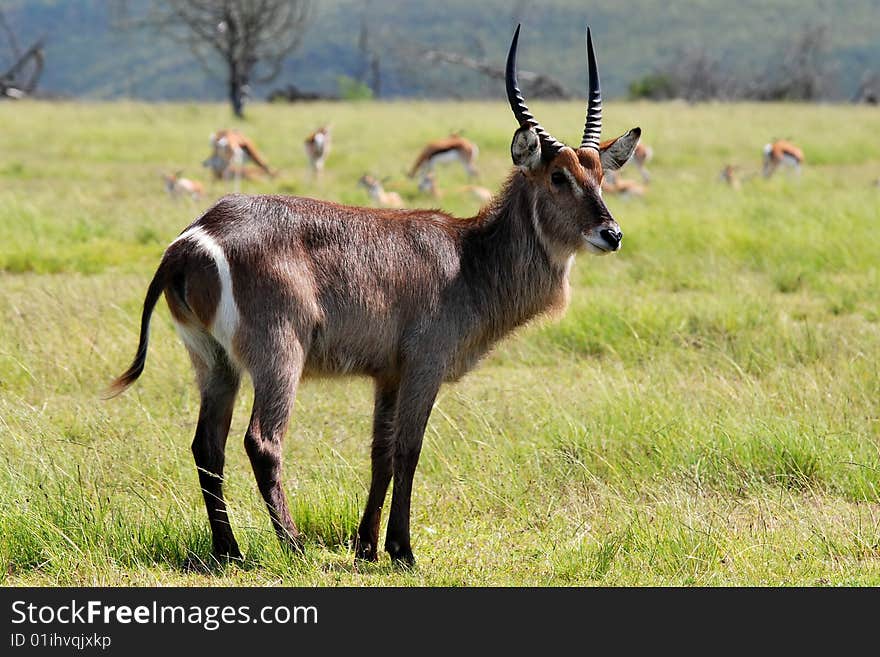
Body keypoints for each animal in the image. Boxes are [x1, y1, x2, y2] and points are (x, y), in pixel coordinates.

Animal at [108, 25, 640, 568]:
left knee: (206, 446)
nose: (612, 233)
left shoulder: (388, 374)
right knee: (262, 442)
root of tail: (195, 235)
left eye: (601, 176)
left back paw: (228, 551)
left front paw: (366, 545)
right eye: (558, 176)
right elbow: (409, 449)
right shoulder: (425, 365)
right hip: (279, 355)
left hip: (213, 362)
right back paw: (293, 547)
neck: (470, 257)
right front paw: (402, 549)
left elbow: (380, 453)